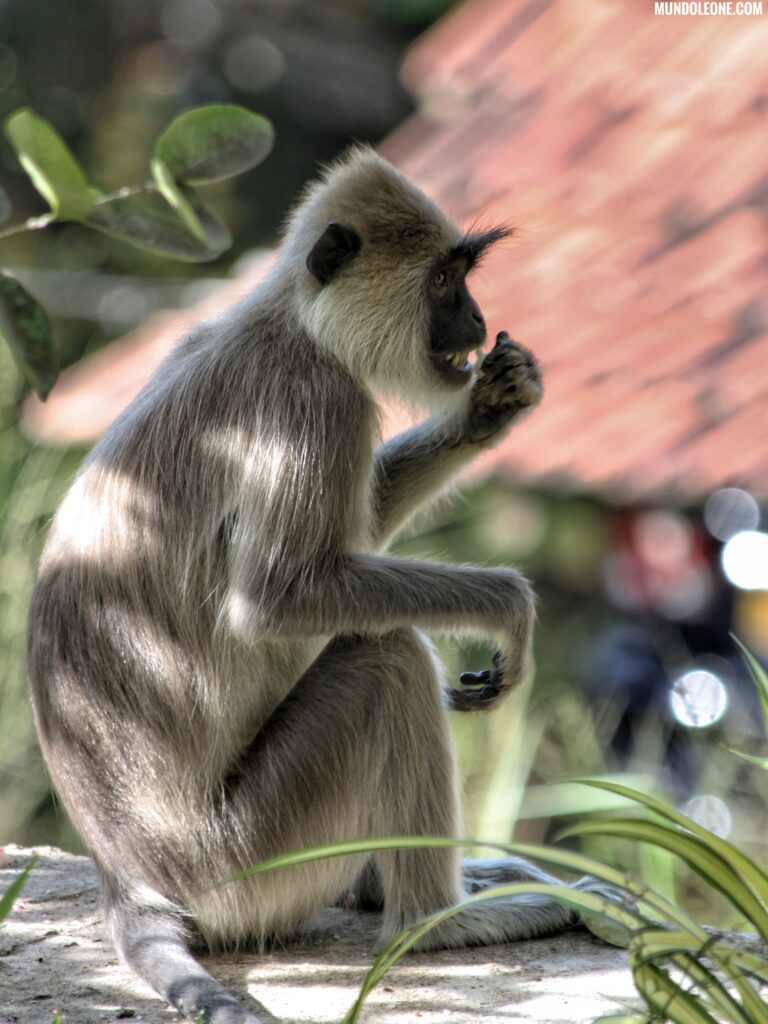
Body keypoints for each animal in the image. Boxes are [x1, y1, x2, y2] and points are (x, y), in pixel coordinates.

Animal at [27, 147, 613, 1024]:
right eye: (446, 282)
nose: (478, 325)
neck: (289, 323)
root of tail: (128, 878)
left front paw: (490, 408)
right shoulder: (316, 400)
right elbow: (279, 598)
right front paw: (507, 605)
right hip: (251, 859)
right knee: (387, 654)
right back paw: (436, 921)